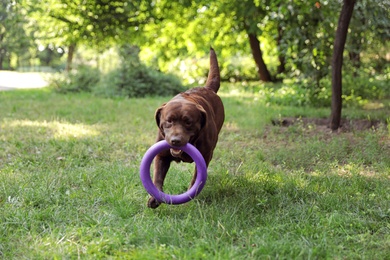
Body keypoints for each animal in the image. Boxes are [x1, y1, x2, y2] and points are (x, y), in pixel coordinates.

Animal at [147, 47, 225, 209]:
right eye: (169, 121)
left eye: (188, 122)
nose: (175, 140)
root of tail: (207, 88)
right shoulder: (161, 155)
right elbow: (157, 177)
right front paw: (154, 198)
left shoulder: (204, 157)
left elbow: (196, 179)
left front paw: (189, 197)